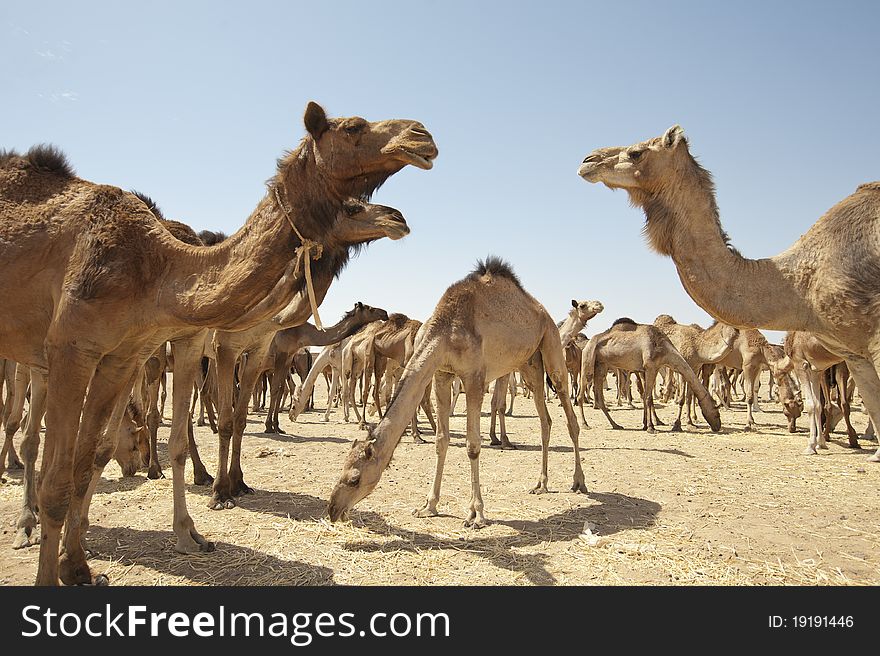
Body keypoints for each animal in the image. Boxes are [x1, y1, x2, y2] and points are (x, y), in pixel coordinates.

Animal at [0, 102, 436, 584]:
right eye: (353, 127)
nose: (422, 134)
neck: (159, 267)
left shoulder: (188, 351)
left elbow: (224, 421)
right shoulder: (93, 349)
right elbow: (219, 421)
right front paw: (219, 493)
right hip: (55, 359)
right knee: (38, 432)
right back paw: (29, 522)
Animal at [326, 256, 588, 528]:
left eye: (354, 479)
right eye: (341, 471)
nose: (333, 510)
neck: (445, 331)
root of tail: (542, 311)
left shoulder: (474, 378)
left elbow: (473, 445)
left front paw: (476, 513)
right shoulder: (441, 374)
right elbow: (441, 440)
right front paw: (429, 506)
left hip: (551, 345)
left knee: (568, 415)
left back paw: (579, 481)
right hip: (530, 364)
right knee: (545, 420)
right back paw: (541, 484)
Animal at [576, 320, 720, 436]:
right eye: (716, 411)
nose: (718, 426)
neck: (664, 349)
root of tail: (588, 343)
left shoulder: (648, 369)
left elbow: (646, 396)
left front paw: (645, 424)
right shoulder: (650, 367)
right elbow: (648, 397)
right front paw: (651, 427)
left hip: (601, 365)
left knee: (599, 397)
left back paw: (615, 425)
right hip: (588, 360)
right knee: (580, 394)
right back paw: (585, 424)